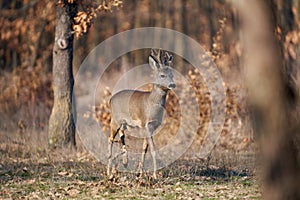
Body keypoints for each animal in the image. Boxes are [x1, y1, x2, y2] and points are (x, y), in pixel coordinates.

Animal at [107, 48, 176, 178]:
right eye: (162, 75)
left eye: (172, 75)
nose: (172, 84)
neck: (151, 104)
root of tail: (110, 99)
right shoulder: (145, 123)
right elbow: (153, 149)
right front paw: (155, 175)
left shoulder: (152, 126)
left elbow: (145, 148)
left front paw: (140, 173)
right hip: (114, 119)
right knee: (110, 139)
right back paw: (109, 171)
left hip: (124, 123)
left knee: (122, 136)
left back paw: (125, 162)